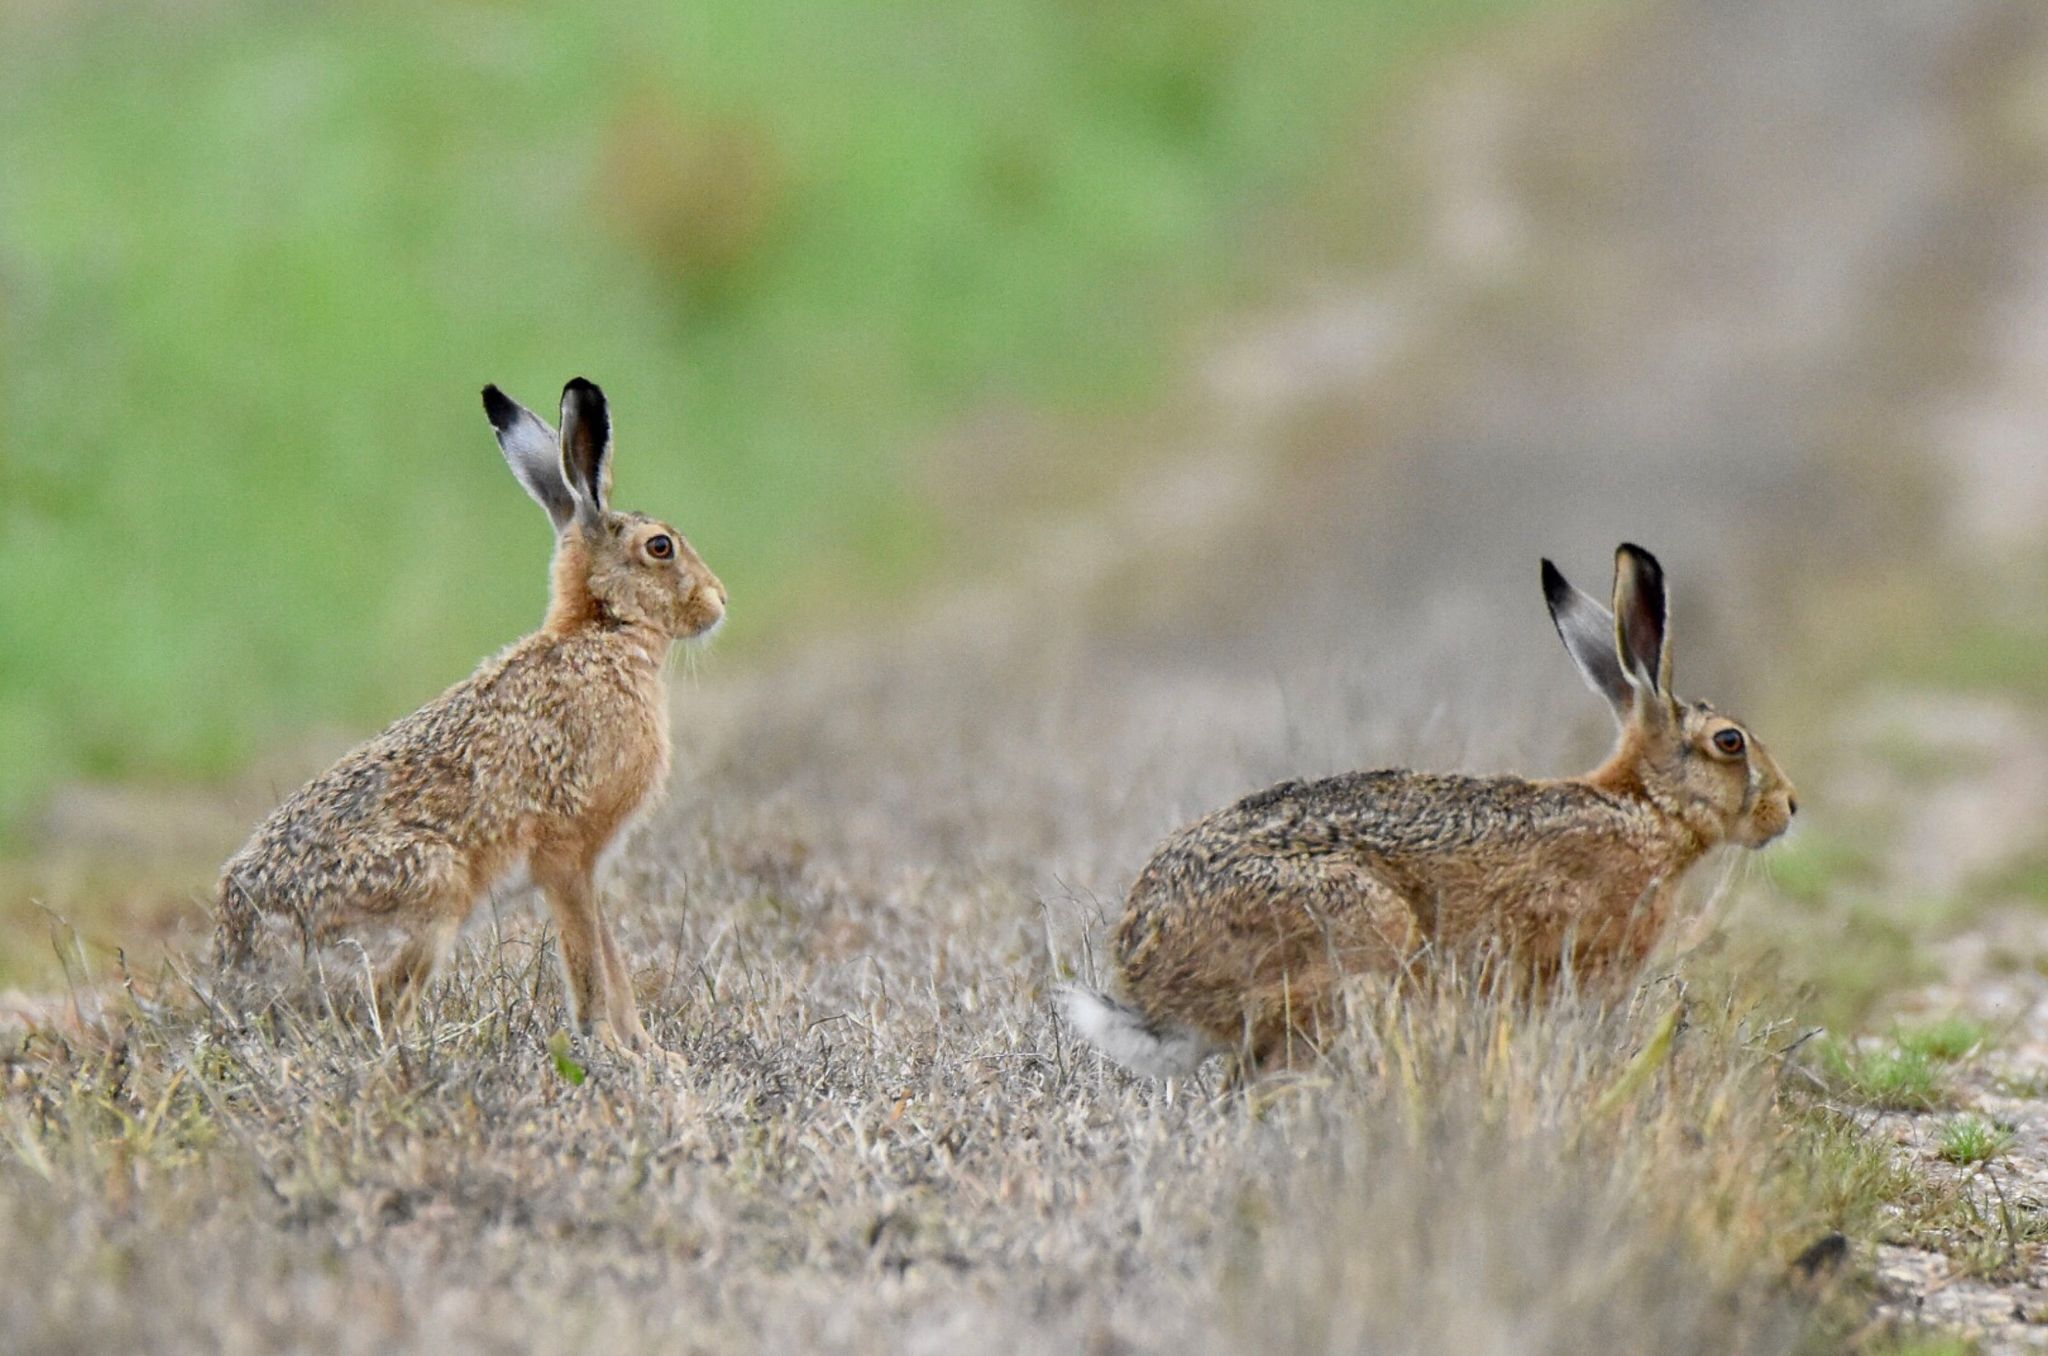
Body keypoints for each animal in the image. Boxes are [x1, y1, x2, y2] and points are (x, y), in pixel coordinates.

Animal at [214, 378, 726, 1058]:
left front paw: (649, 1051)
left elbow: (610, 958)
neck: (601, 632)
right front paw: (613, 1048)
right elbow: (589, 961)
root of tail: (244, 968)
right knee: (380, 1015)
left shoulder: (588, 865)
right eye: (660, 547)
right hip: (432, 886)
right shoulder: (565, 854)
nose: (720, 602)